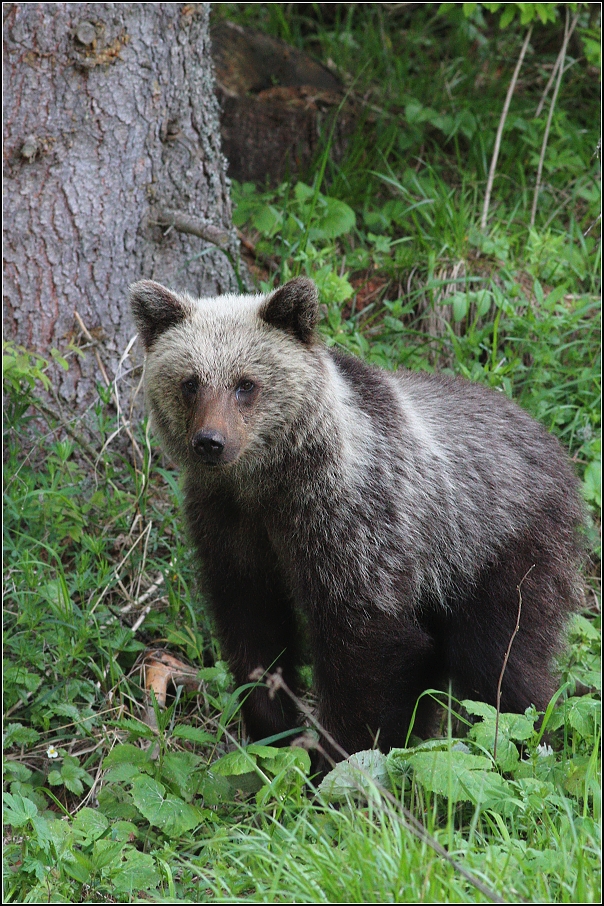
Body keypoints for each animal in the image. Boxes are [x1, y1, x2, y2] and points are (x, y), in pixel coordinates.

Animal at [131, 276, 584, 764]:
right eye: (190, 382)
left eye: (245, 384)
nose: (210, 441)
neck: (266, 485)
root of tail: (552, 443)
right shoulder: (229, 526)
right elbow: (253, 630)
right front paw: (272, 735)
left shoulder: (351, 524)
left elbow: (365, 648)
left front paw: (335, 755)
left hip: (496, 547)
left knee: (501, 661)